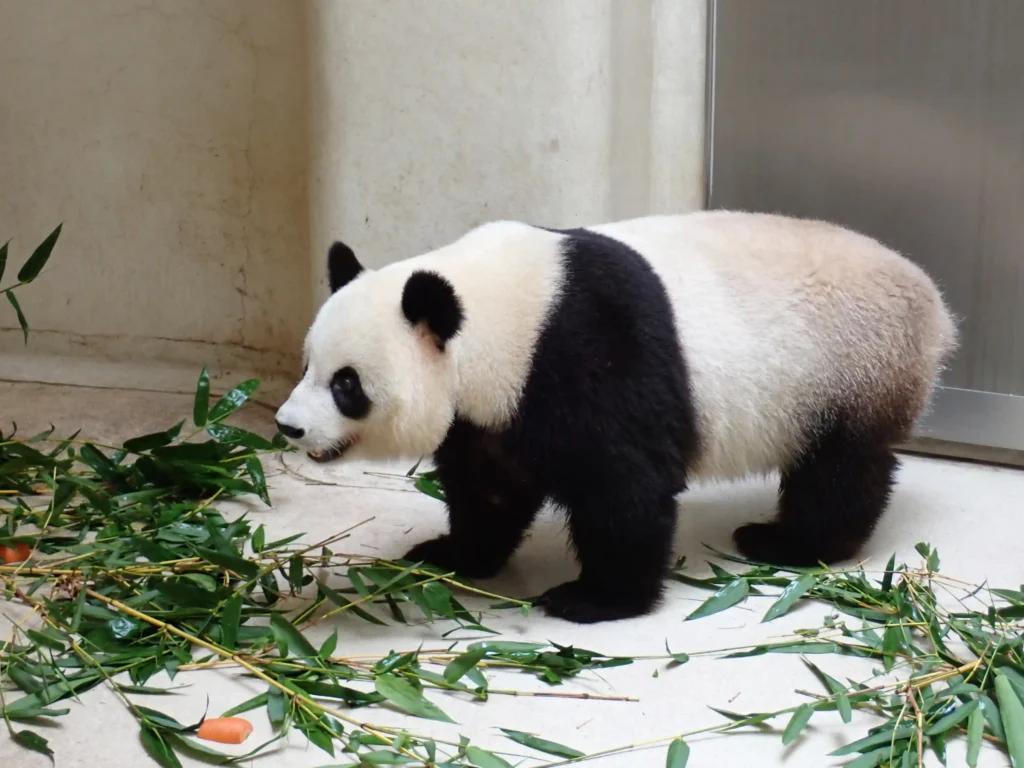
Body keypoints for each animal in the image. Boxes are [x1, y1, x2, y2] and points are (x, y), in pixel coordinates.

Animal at [274, 211, 958, 626]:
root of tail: (935, 303)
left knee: (840, 471)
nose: (288, 426)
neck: (498, 317)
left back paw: (789, 543)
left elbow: (624, 488)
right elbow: (489, 487)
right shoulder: (495, 409)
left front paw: (592, 597)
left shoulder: (590, 354)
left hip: (850, 370)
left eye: (347, 385)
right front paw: (452, 552)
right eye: (308, 364)